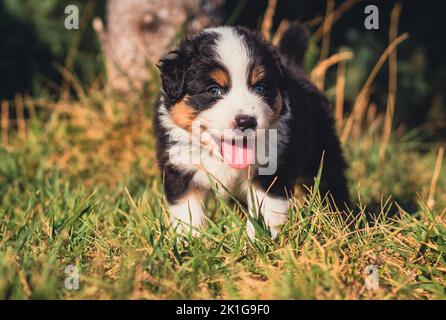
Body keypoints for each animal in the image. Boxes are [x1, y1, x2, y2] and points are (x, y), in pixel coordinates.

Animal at [155, 21, 350, 238]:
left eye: (260, 88)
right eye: (213, 90)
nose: (246, 122)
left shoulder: (273, 167)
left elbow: (266, 210)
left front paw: (259, 241)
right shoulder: (179, 167)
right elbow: (187, 213)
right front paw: (188, 241)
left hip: (322, 154)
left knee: (331, 184)